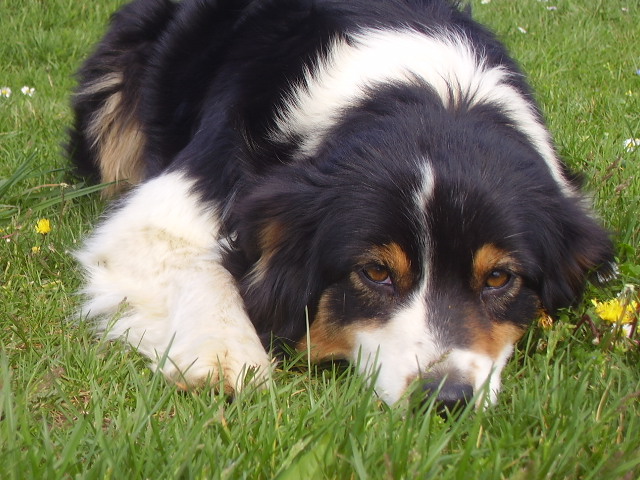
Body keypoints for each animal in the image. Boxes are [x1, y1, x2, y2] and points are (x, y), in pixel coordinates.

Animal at [69, 0, 614, 408]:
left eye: (499, 278)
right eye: (375, 272)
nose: (445, 398)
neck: (426, 97)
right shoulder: (169, 202)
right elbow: (199, 259)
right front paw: (225, 358)